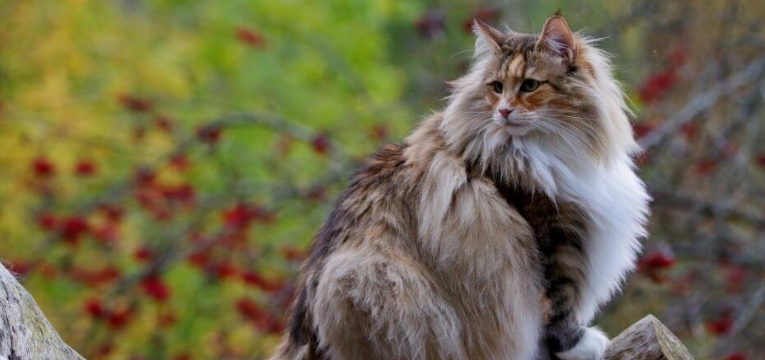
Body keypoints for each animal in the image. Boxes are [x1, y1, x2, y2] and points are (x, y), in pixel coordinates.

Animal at [272, 12, 648, 358]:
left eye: (529, 85)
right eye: (497, 87)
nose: (504, 111)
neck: (544, 148)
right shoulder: (555, 237)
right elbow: (558, 306)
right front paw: (581, 345)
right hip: (362, 278)